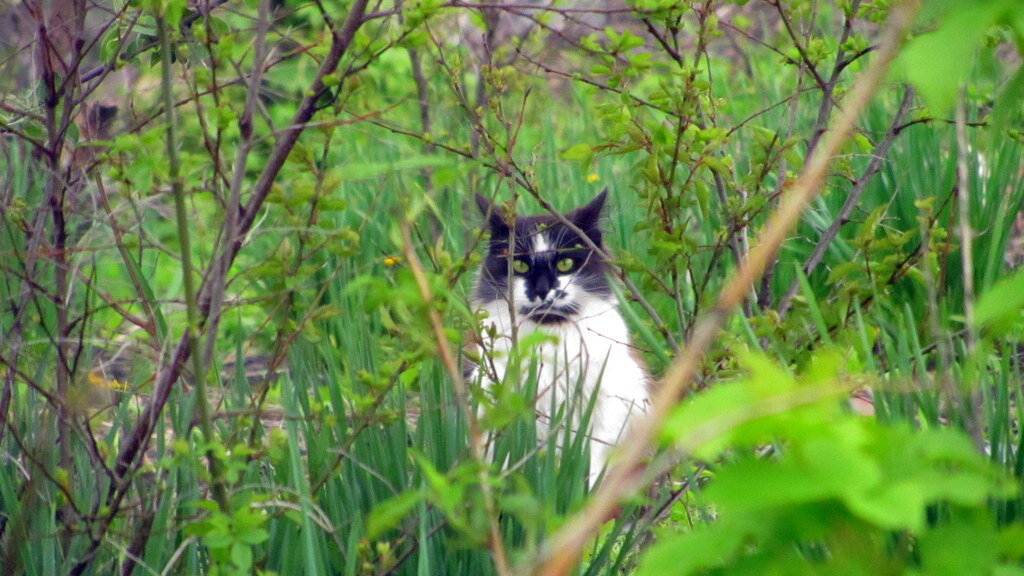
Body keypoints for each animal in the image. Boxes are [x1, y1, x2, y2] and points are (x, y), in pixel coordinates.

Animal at [468, 190, 647, 481]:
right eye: (519, 265)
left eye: (565, 263)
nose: (542, 290)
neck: (549, 343)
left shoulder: (608, 408)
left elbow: (593, 469)